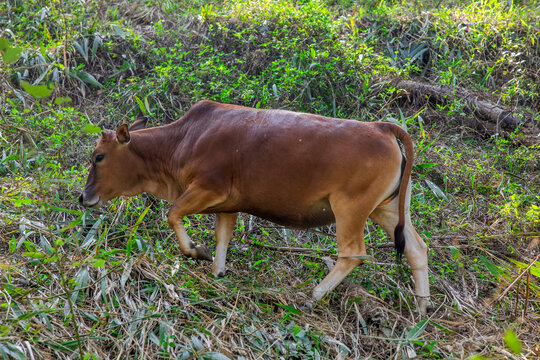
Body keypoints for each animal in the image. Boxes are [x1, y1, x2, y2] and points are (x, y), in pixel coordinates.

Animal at [79, 100, 430, 312]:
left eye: (99, 156)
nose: (84, 197)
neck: (182, 140)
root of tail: (381, 127)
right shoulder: (227, 204)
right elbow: (223, 236)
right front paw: (218, 270)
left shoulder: (208, 188)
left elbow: (173, 213)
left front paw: (195, 251)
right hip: (386, 208)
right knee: (417, 248)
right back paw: (423, 305)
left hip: (350, 208)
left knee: (354, 252)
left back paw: (314, 295)